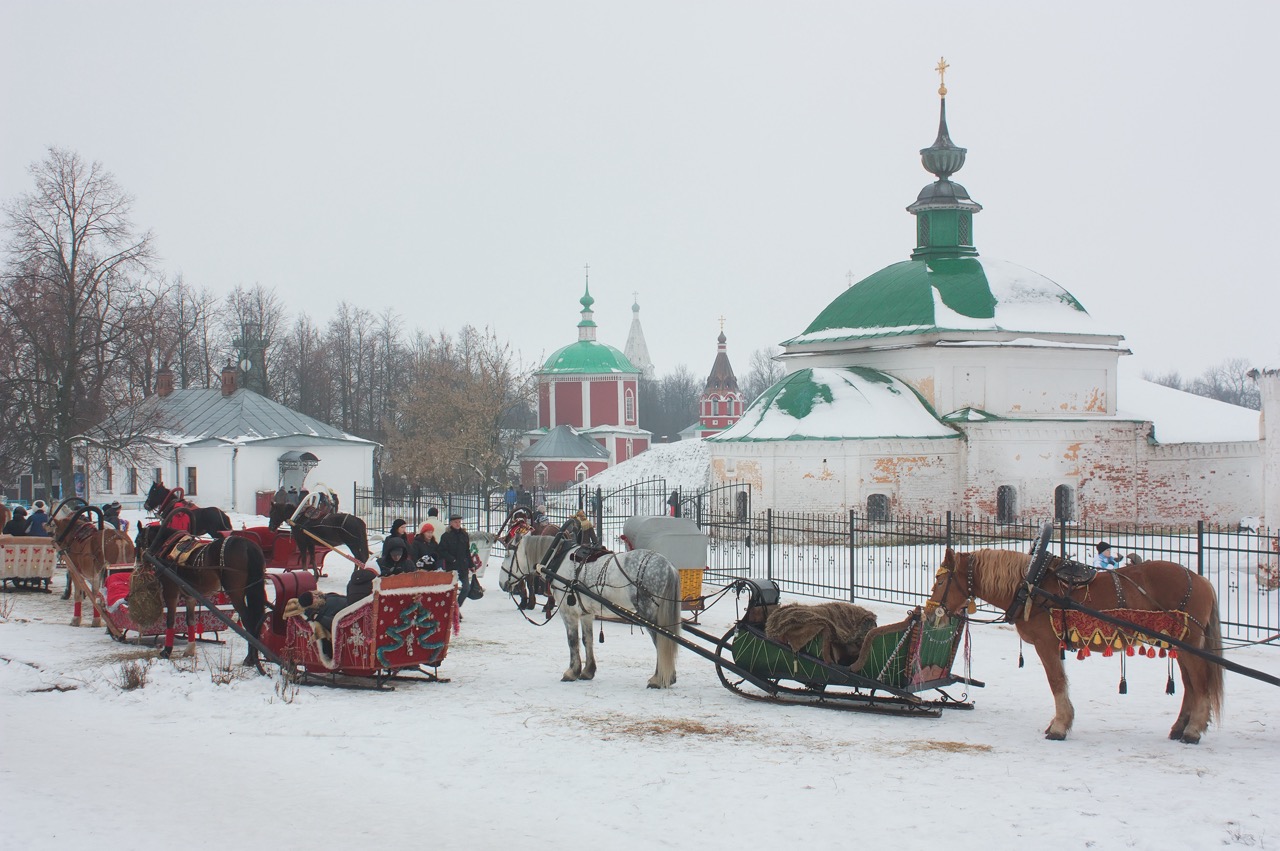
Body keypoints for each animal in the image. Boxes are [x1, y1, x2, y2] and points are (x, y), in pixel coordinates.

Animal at [135, 516, 267, 665]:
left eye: (137, 541)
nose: (138, 563)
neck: (168, 547)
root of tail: (248, 546)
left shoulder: (171, 591)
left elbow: (170, 620)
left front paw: (167, 651)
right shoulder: (190, 596)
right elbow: (190, 620)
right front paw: (190, 650)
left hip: (236, 593)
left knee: (248, 621)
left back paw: (250, 658)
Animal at [496, 534, 680, 685]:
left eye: (507, 555)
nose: (502, 583)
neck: (557, 558)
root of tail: (669, 567)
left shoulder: (568, 613)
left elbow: (572, 641)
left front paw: (572, 672)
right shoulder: (586, 614)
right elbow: (587, 640)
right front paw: (587, 671)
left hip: (649, 614)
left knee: (661, 642)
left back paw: (658, 679)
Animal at [931, 547, 1218, 742]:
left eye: (941, 581)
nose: (931, 611)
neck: (1031, 588)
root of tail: (1202, 580)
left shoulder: (1046, 644)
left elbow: (1056, 682)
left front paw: (1059, 726)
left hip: (1189, 643)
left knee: (1200, 683)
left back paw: (1193, 730)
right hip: (1180, 645)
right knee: (1190, 684)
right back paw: (1180, 727)